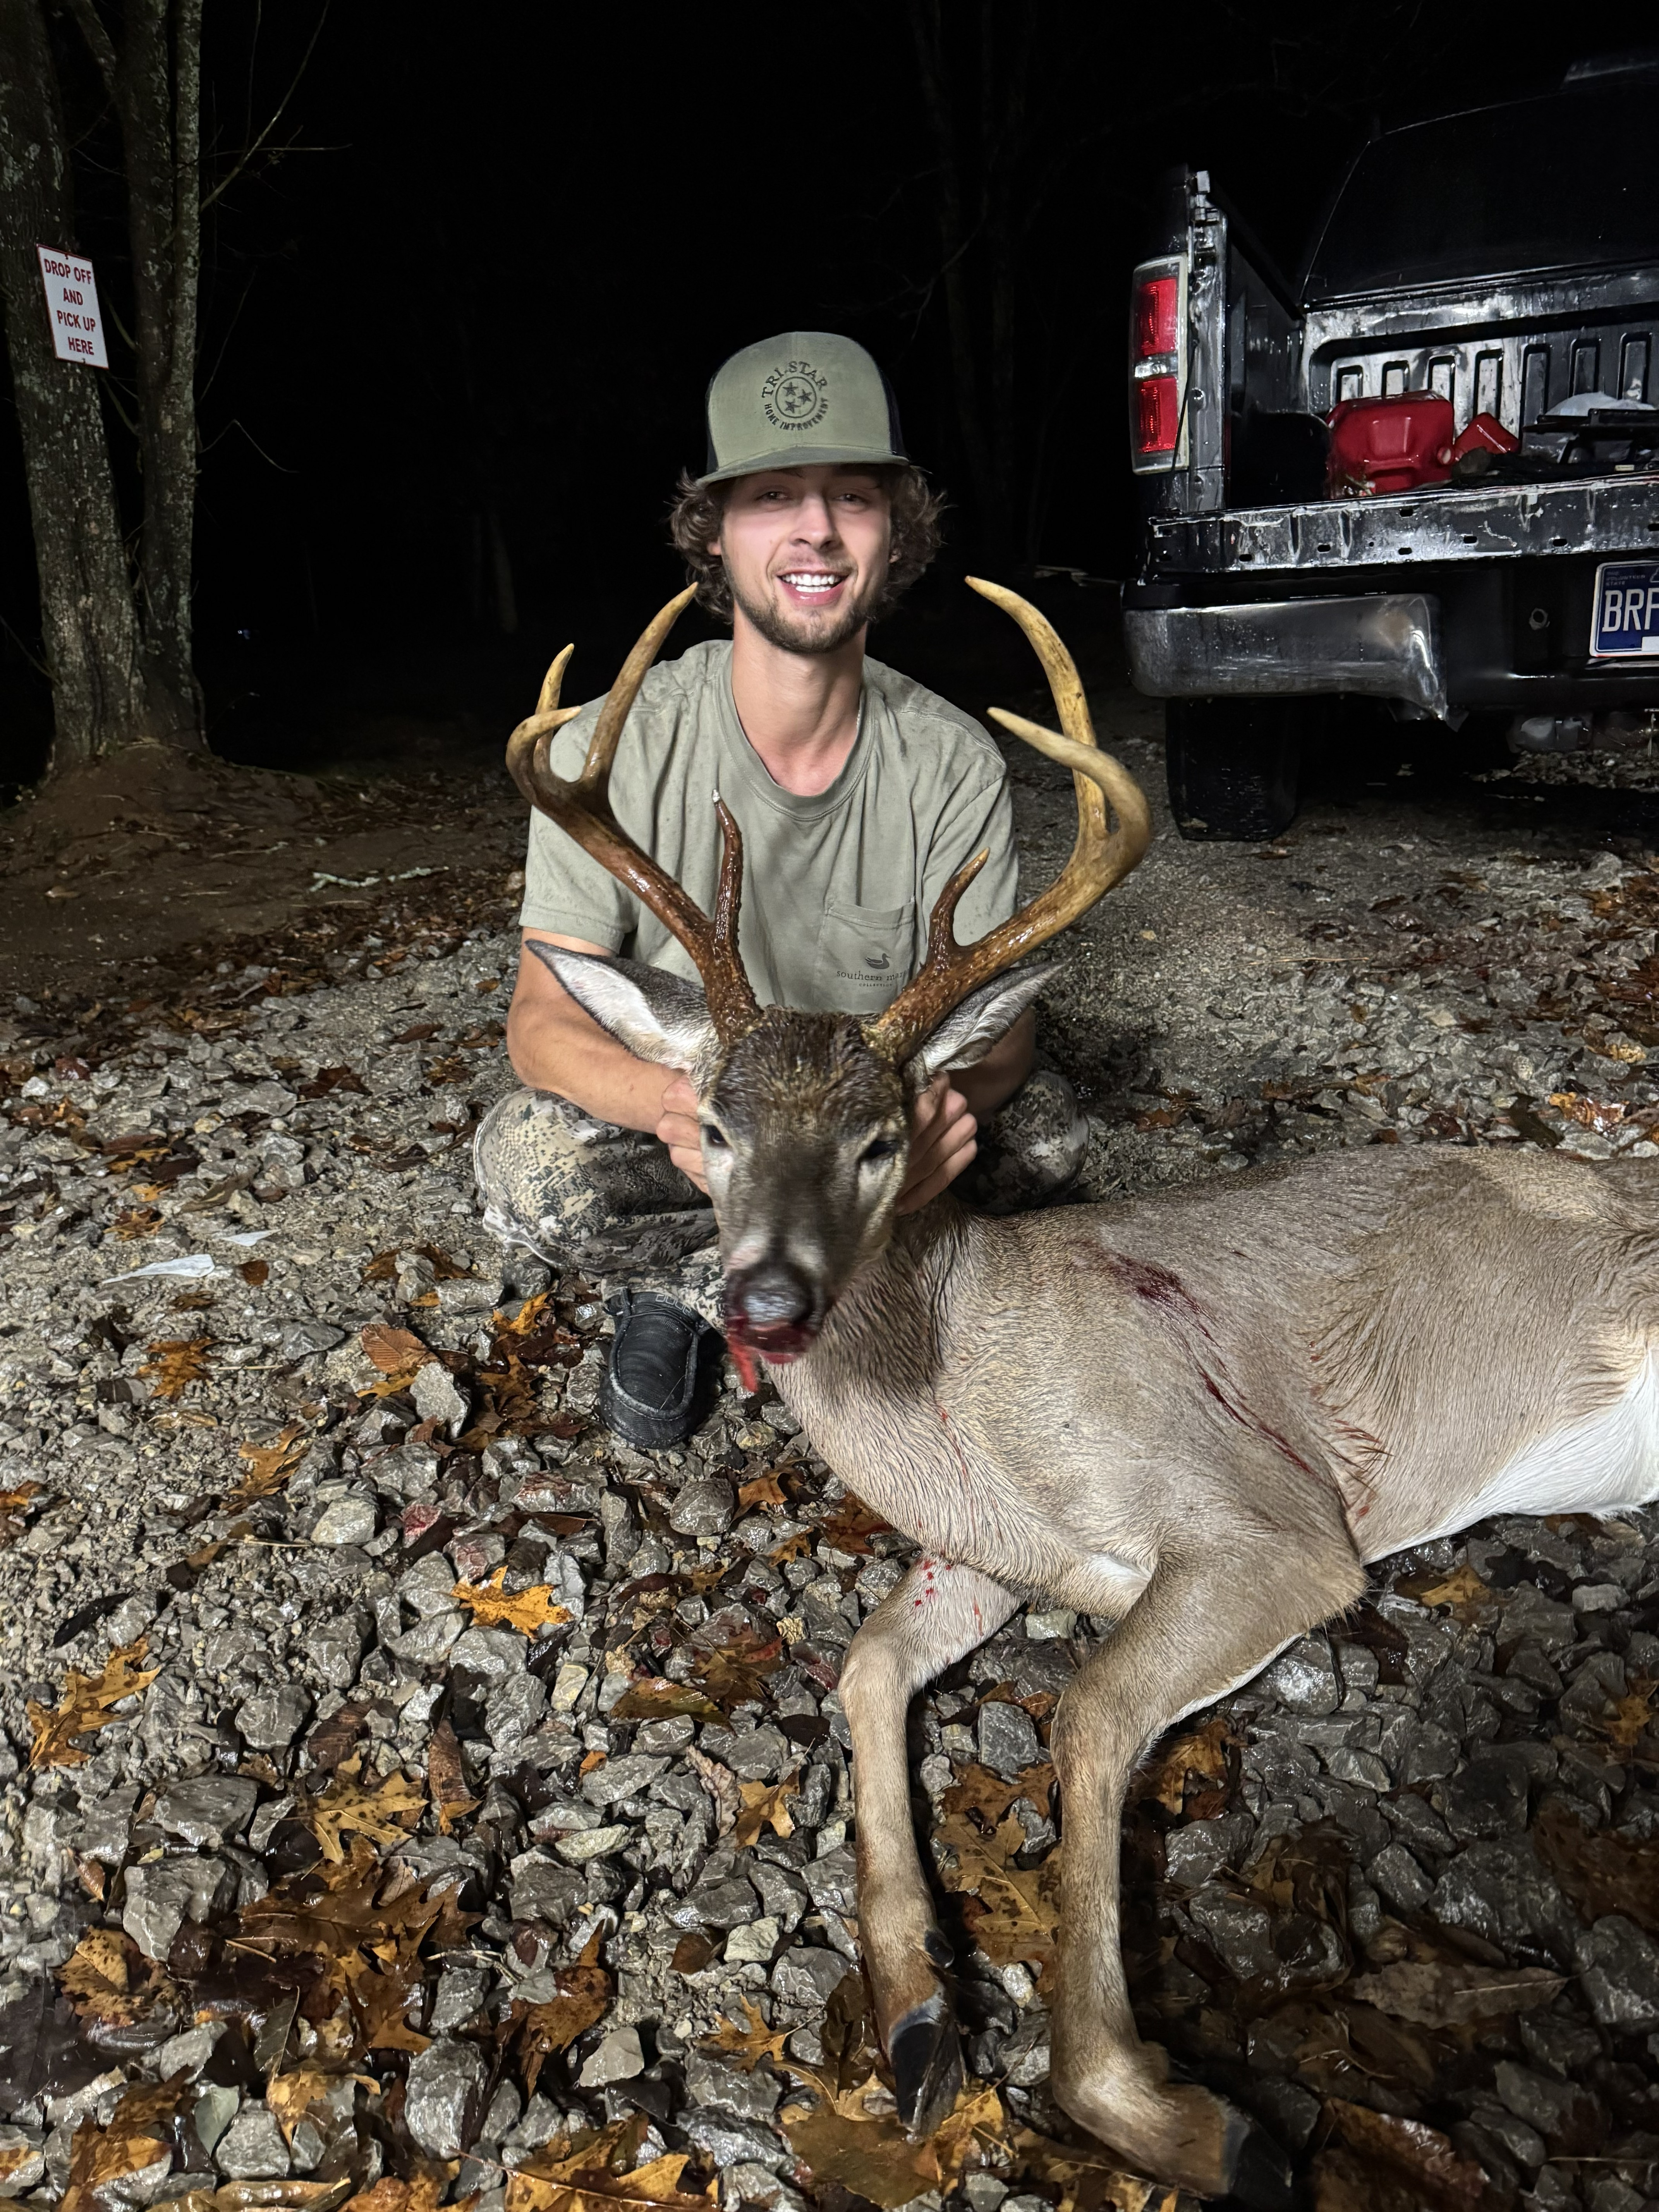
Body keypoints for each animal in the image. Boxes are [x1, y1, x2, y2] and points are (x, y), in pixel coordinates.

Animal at [504, 580, 1659, 2203]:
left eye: (880, 1138)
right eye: (714, 1128)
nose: (767, 1302)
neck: (966, 1397)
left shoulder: (1268, 1521)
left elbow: (1087, 1716)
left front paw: (1177, 2112)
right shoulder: (993, 1551)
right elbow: (863, 1669)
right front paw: (917, 2011)